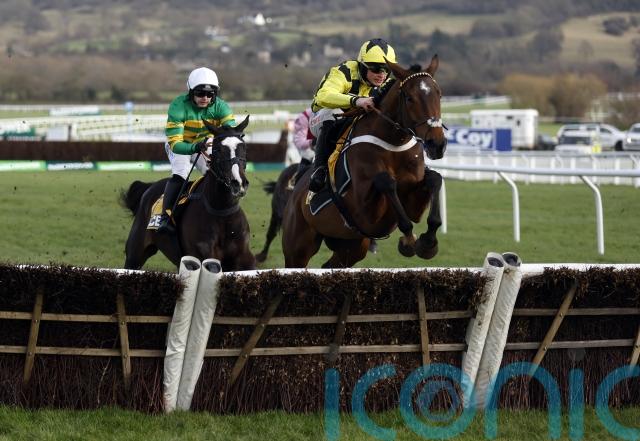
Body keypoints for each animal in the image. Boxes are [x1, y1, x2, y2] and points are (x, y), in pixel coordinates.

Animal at [121, 116, 256, 271]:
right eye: (217, 149)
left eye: (243, 147)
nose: (238, 183)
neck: (222, 213)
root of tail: (149, 187)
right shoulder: (202, 257)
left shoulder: (245, 259)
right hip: (134, 255)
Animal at [281, 55, 447, 268]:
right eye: (410, 98)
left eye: (439, 95)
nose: (437, 144)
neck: (393, 143)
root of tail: (295, 192)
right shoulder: (364, 211)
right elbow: (386, 181)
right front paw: (409, 239)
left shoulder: (413, 203)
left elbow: (435, 178)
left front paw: (428, 241)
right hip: (298, 247)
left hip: (351, 246)